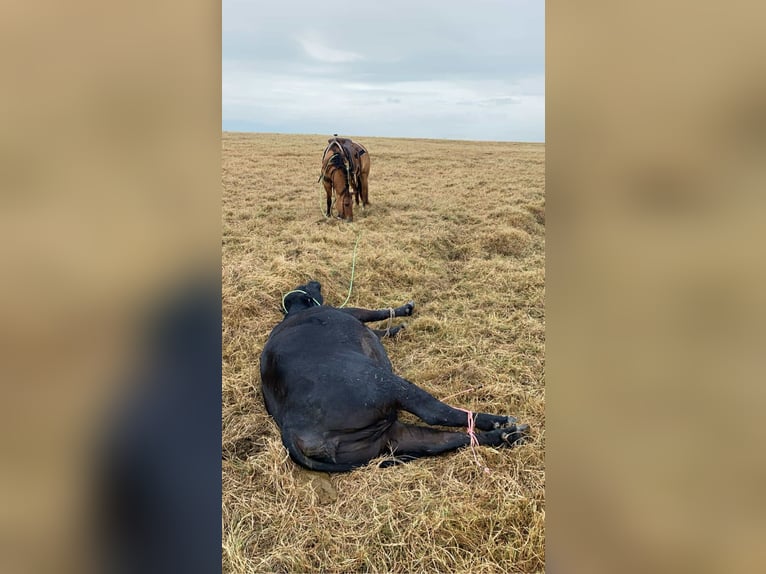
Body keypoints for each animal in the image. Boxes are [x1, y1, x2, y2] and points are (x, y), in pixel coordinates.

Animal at [260, 282, 532, 474]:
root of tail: (291, 429)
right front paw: (402, 312)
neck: (294, 314)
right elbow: (372, 314)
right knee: (437, 412)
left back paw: (505, 436)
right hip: (389, 386)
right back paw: (497, 422)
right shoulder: (350, 312)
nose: (314, 280)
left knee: (451, 440)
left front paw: (395, 327)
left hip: (396, 437)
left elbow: (379, 330)